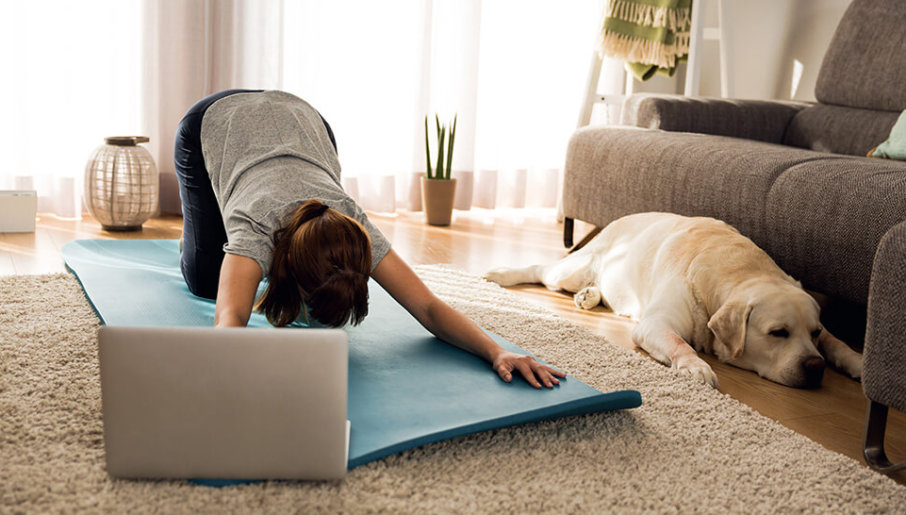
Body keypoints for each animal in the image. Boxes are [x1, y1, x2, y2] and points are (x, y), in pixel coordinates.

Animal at [488, 212, 860, 390]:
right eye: (777, 333)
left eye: (813, 333)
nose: (815, 367)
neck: (738, 269)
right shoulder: (656, 324)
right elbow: (680, 343)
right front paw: (696, 366)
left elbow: (837, 341)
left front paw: (855, 361)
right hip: (572, 269)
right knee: (542, 270)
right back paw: (501, 273)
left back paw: (590, 296)